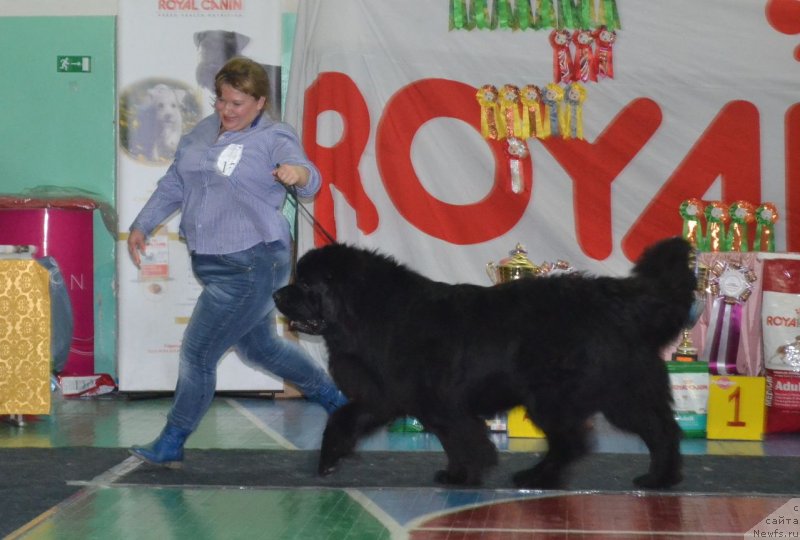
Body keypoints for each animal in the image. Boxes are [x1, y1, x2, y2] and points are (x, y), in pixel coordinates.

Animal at [274, 236, 692, 490]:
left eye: (306, 285)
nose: (277, 294)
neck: (369, 312)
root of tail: (616, 300)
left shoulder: (437, 402)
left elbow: (460, 436)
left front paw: (463, 474)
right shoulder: (382, 396)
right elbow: (342, 419)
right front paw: (328, 460)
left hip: (557, 396)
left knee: (573, 441)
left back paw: (537, 476)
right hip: (623, 393)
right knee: (662, 430)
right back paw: (660, 478)